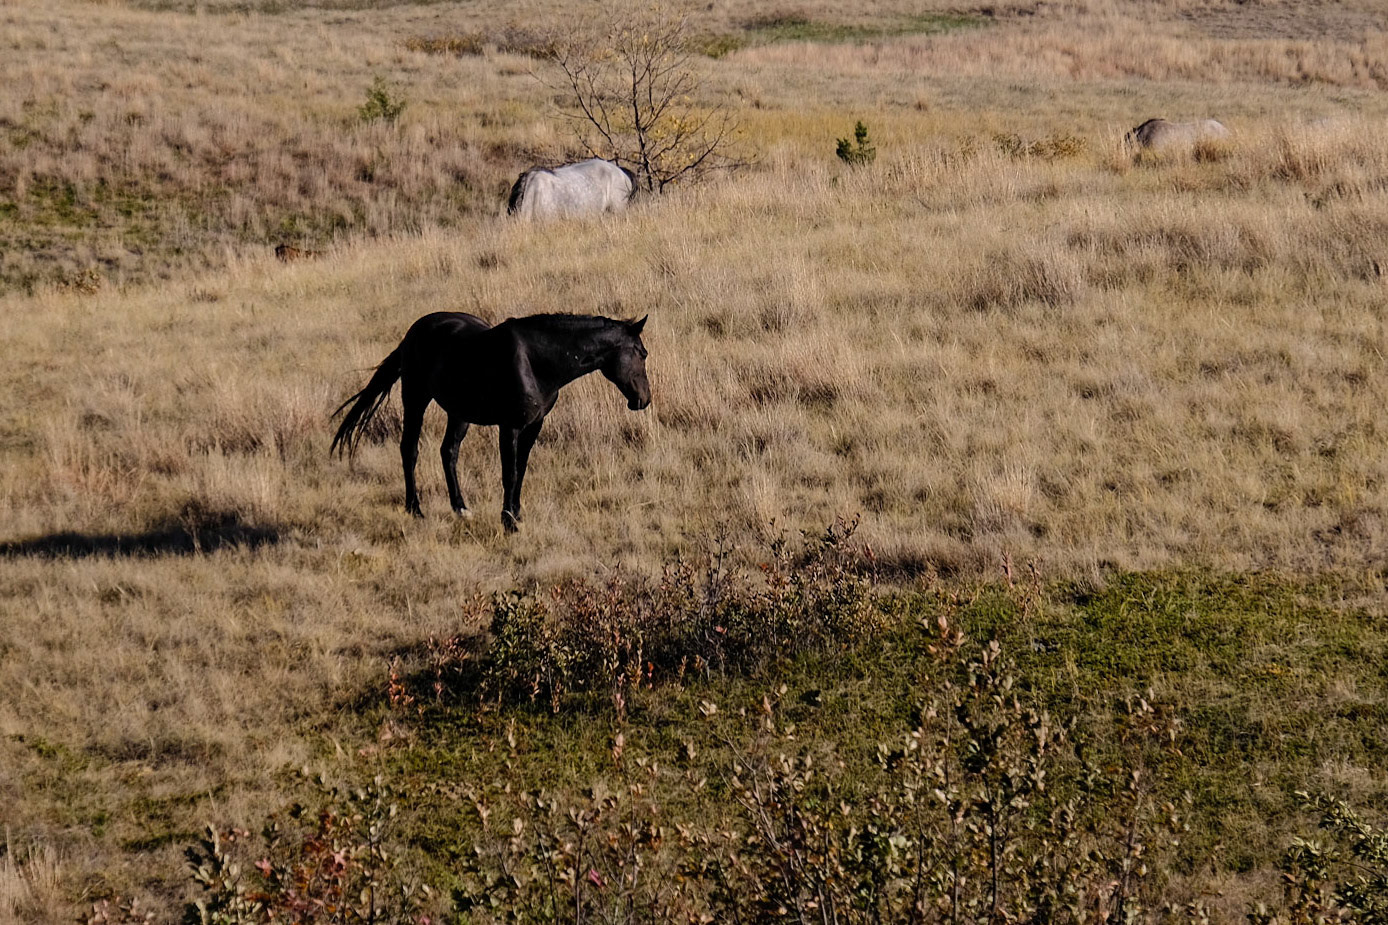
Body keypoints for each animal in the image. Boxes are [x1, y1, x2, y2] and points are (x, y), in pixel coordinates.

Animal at [331, 312, 650, 531]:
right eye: (642, 353)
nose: (643, 400)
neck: (537, 362)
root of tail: (413, 333)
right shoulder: (509, 426)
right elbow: (509, 473)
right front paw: (508, 522)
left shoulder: (534, 426)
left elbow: (521, 470)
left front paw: (516, 513)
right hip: (416, 399)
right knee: (409, 449)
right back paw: (415, 509)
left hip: (459, 412)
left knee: (448, 452)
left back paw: (460, 508)